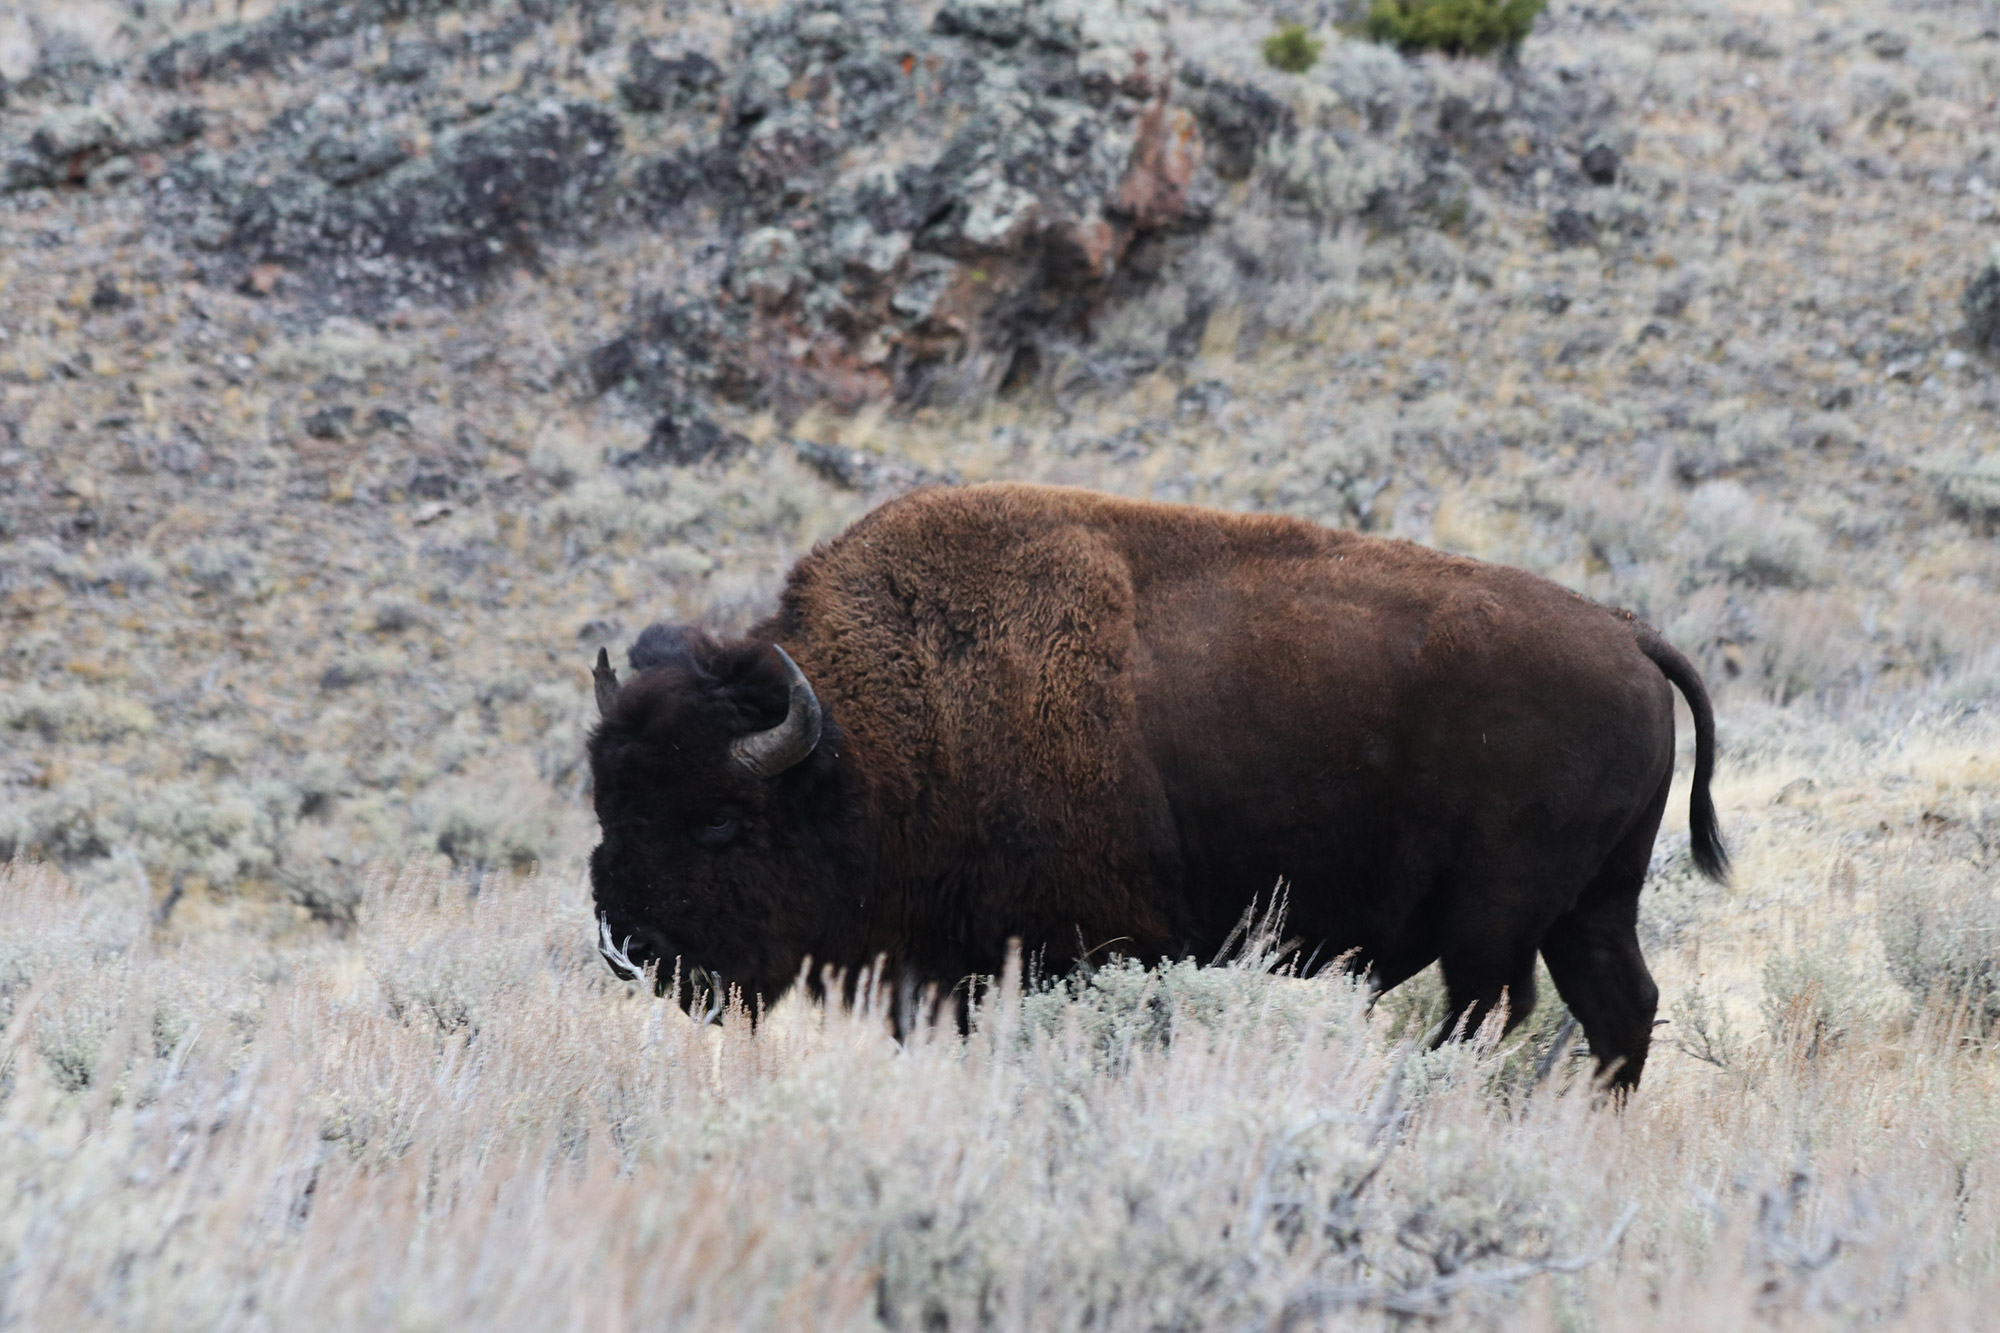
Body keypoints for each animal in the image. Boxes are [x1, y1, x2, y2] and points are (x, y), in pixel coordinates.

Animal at [584, 482, 1728, 1088]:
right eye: (604, 802)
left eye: (720, 822)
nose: (629, 946)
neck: (882, 728)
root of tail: (1626, 631)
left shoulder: (1080, 949)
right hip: (1593, 902)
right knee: (1616, 1008)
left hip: (1499, 915)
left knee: (1489, 1008)